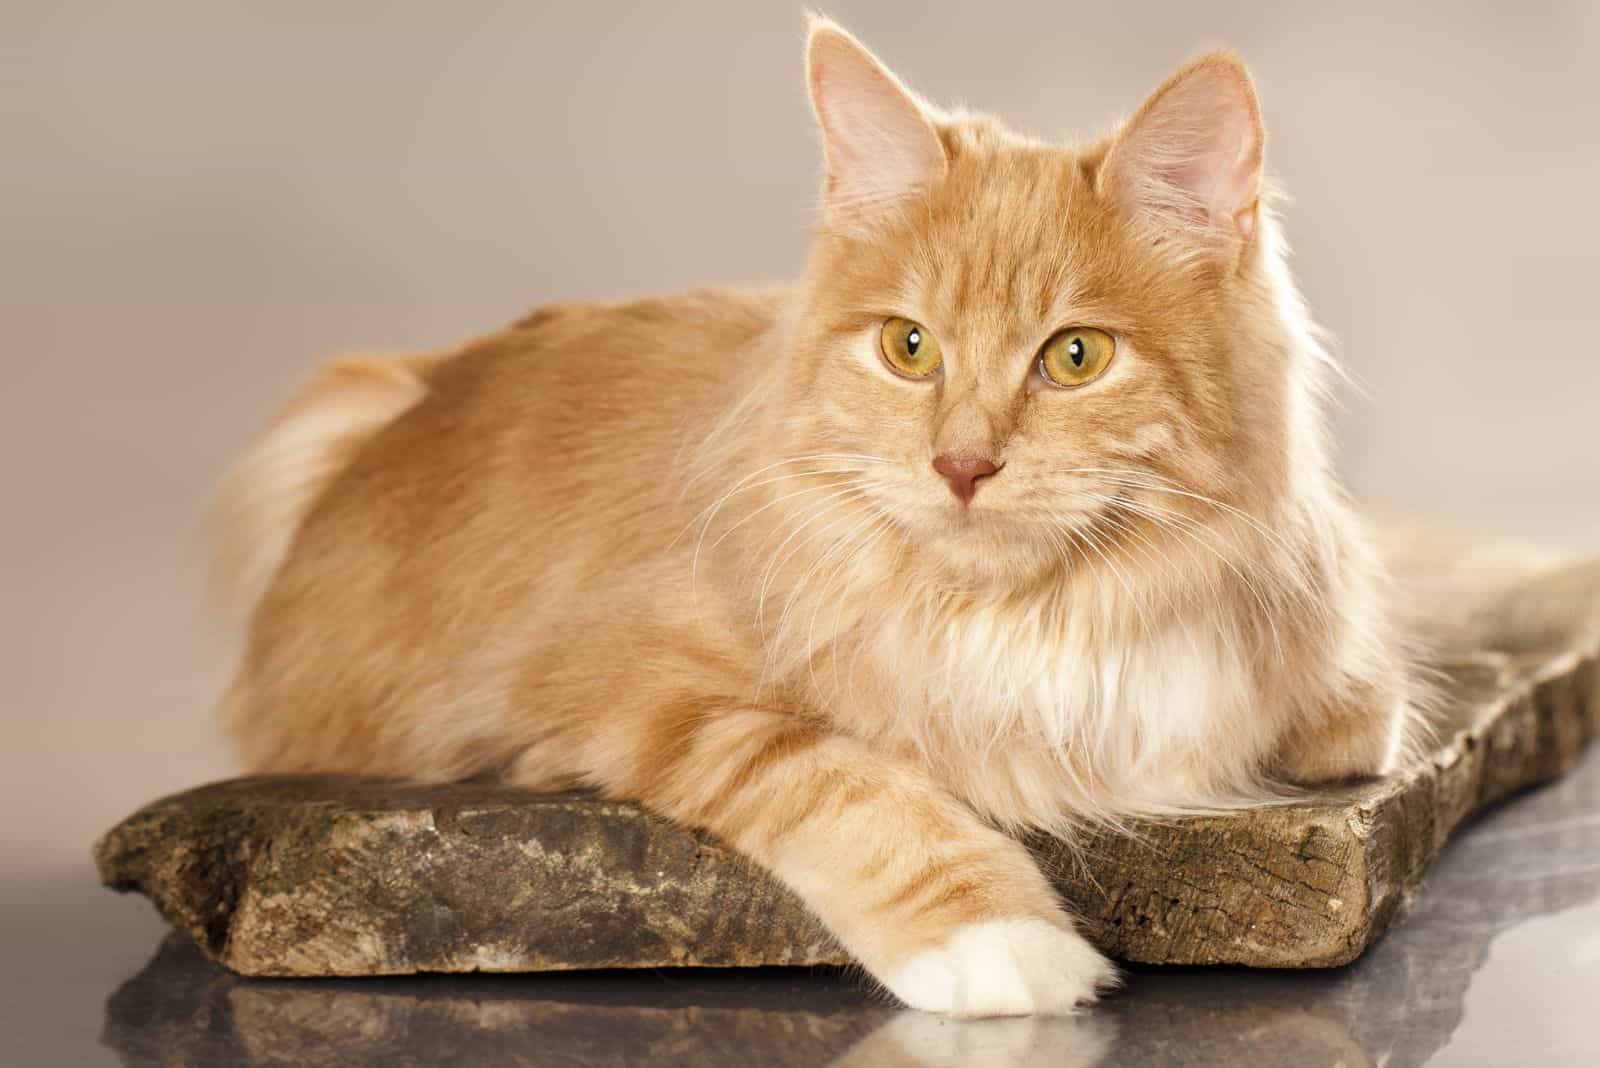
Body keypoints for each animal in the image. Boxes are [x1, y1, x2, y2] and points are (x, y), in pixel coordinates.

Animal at [209, 18, 1414, 1016]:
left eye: (1076, 356)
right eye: (907, 347)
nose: (962, 465)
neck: (1029, 611)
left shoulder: (1344, 691)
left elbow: (1341, 713)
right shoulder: (613, 677)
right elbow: (842, 780)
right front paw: (999, 941)